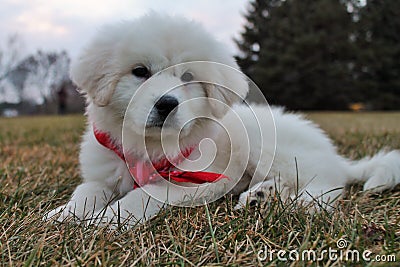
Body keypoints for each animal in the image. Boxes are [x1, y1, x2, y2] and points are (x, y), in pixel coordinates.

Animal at [46, 12, 400, 226]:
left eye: (188, 77)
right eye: (139, 71)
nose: (166, 104)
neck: (150, 147)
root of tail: (335, 157)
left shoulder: (199, 181)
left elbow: (140, 196)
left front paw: (105, 221)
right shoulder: (103, 175)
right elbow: (85, 193)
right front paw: (63, 216)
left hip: (269, 147)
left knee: (327, 187)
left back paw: (302, 204)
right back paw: (261, 197)